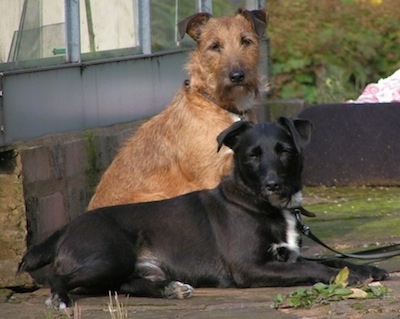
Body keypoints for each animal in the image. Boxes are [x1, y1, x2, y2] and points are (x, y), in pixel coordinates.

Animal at [18, 118, 388, 310]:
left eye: (284, 151)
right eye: (251, 155)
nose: (273, 185)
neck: (262, 205)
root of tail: (65, 229)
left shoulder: (284, 256)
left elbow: (329, 259)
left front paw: (366, 267)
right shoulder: (251, 267)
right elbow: (314, 266)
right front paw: (351, 276)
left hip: (123, 268)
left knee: (124, 285)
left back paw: (170, 289)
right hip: (109, 257)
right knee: (61, 279)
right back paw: (60, 299)